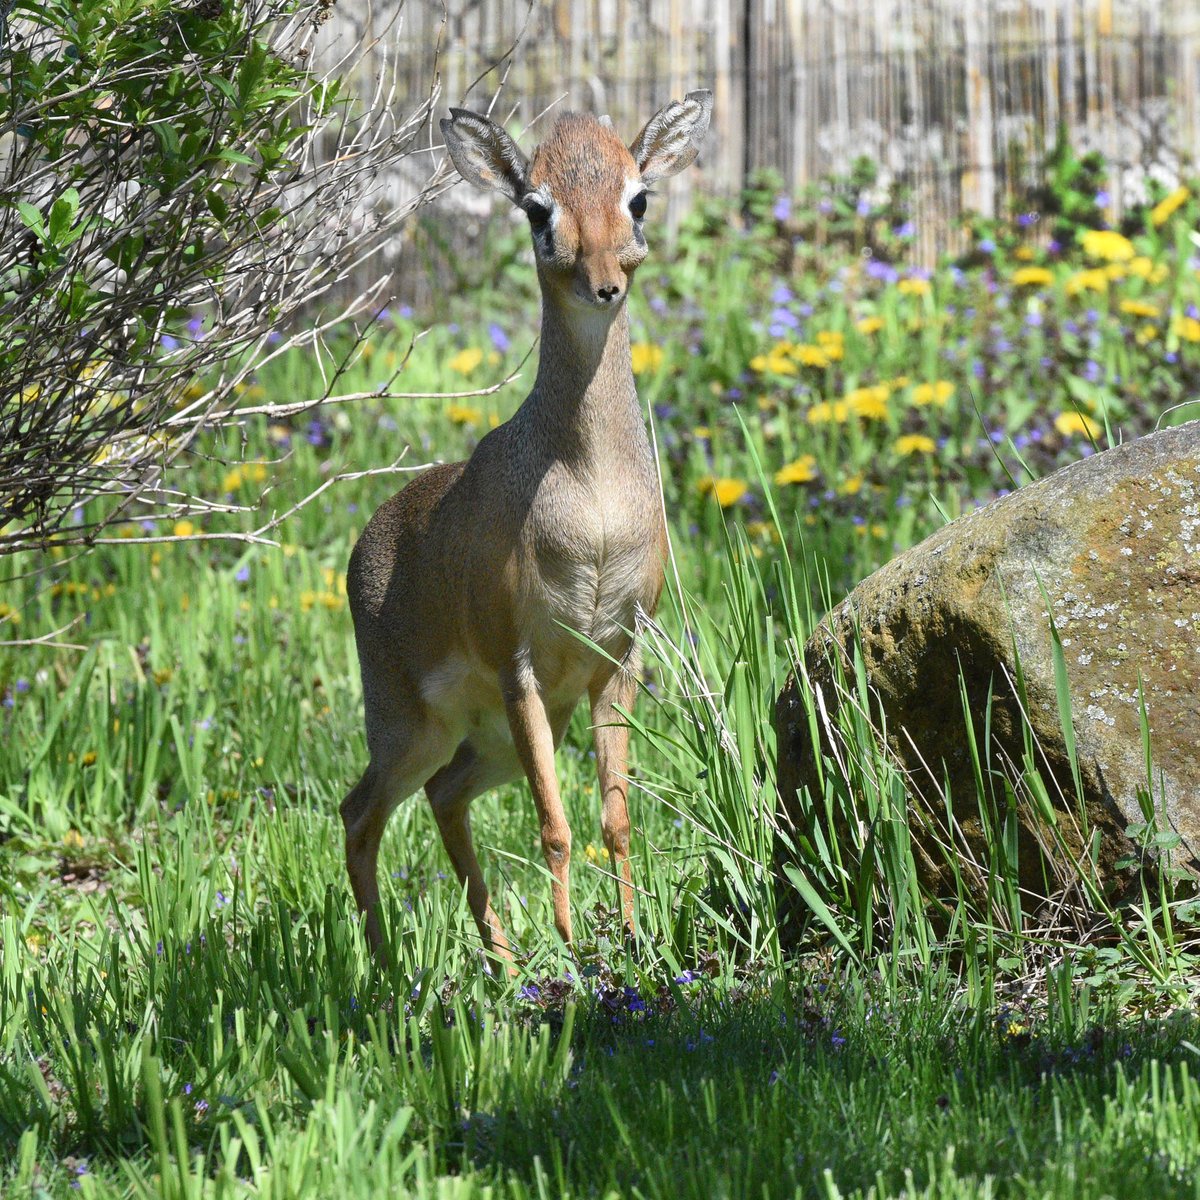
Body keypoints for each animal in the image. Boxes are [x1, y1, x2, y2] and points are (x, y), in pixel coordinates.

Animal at [341, 91, 712, 966]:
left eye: (637, 197)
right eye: (538, 208)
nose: (603, 283)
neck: (594, 500)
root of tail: (365, 543)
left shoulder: (617, 660)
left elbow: (615, 819)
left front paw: (631, 937)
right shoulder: (523, 670)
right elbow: (555, 826)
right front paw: (575, 946)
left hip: (485, 743)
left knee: (442, 796)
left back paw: (503, 960)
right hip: (413, 727)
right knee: (359, 813)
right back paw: (385, 967)